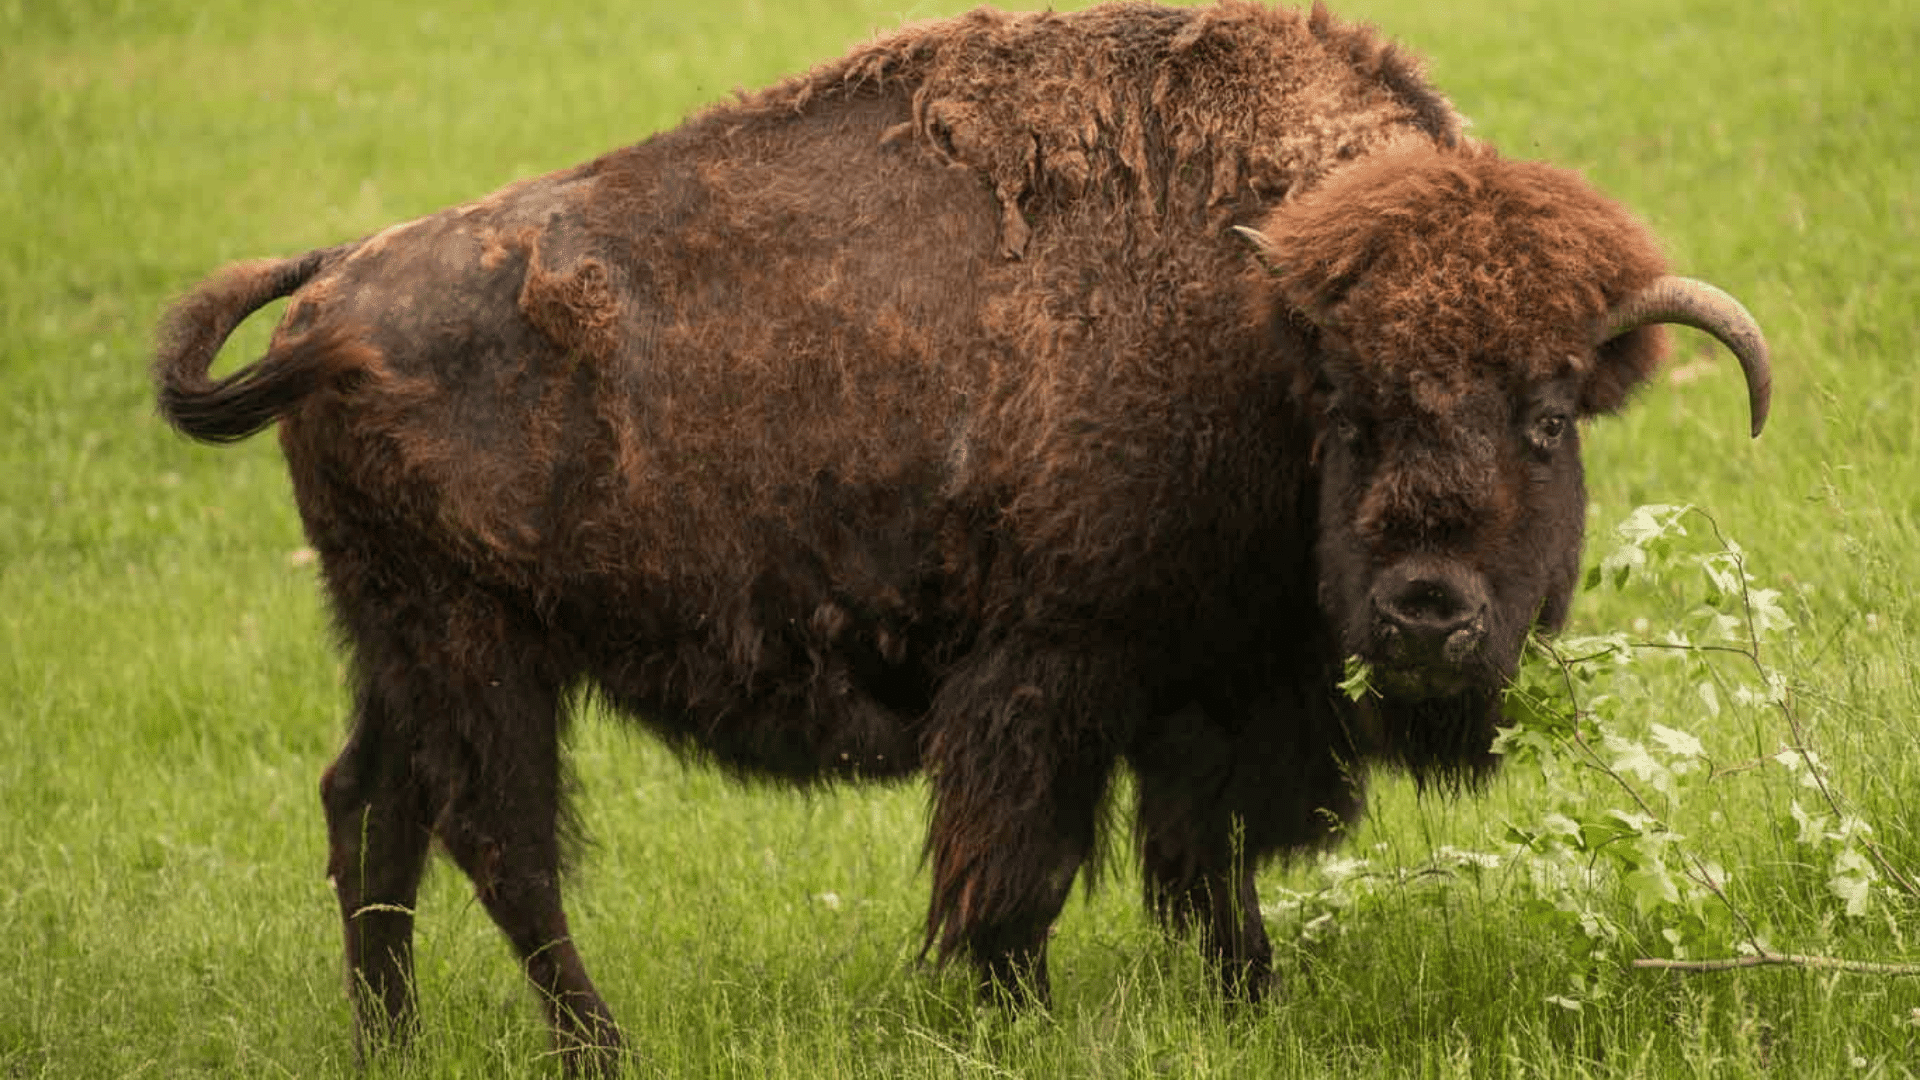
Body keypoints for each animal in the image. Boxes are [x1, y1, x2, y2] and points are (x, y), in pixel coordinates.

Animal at [153, 1, 1769, 1073]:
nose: (1427, 613)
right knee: (500, 840)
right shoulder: (1053, 672)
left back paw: (391, 1040)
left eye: (1548, 417)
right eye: (1354, 413)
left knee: (371, 807)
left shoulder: (1204, 682)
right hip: (476, 644)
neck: (1252, 334)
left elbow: (1204, 868)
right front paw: (1016, 1017)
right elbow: (1023, 872)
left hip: (397, 638)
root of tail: (329, 293)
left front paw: (1247, 1006)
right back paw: (598, 1047)